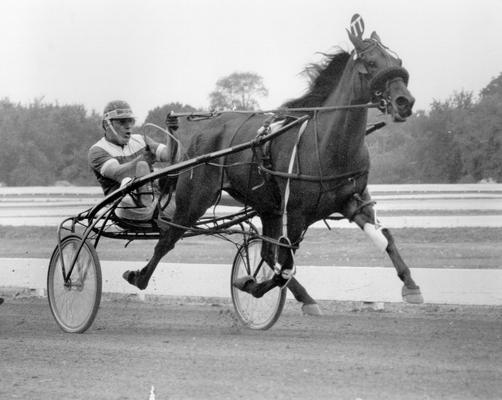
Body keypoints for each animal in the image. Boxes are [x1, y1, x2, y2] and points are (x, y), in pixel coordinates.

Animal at [122, 19, 424, 310]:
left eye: (397, 61)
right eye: (371, 63)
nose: (405, 102)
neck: (328, 145)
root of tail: (200, 132)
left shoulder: (353, 200)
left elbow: (386, 238)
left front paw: (411, 285)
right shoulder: (297, 212)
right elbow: (285, 265)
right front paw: (252, 286)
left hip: (268, 206)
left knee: (267, 252)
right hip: (196, 199)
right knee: (168, 238)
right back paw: (138, 277)